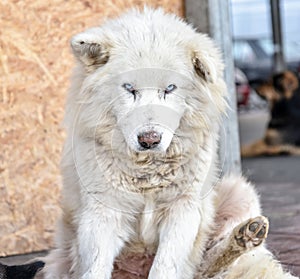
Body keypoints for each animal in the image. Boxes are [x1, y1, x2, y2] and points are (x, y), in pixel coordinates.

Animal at [37, 7, 296, 278]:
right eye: (129, 88)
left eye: (170, 88)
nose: (149, 140)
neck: (148, 169)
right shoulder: (103, 210)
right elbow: (95, 266)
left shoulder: (182, 209)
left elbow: (165, 266)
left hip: (237, 191)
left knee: (204, 267)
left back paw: (246, 234)